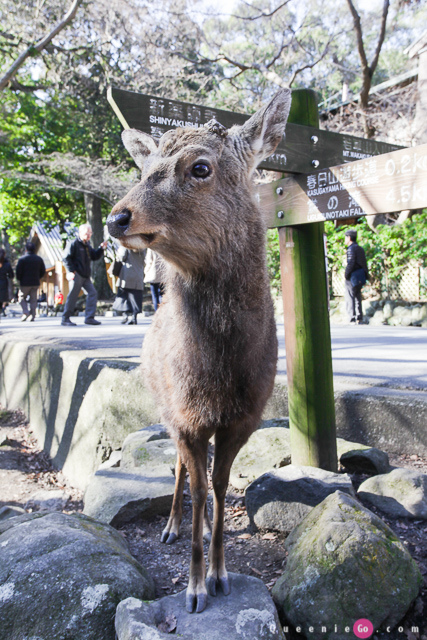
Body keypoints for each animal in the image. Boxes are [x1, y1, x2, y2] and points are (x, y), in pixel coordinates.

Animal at [107, 87, 292, 612]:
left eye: (201, 167)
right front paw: (193, 589)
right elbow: (196, 482)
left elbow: (221, 484)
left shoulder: (243, 420)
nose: (116, 217)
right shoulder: (186, 417)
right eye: (145, 169)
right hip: (165, 408)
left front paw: (220, 575)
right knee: (180, 471)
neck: (218, 377)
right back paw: (171, 525)